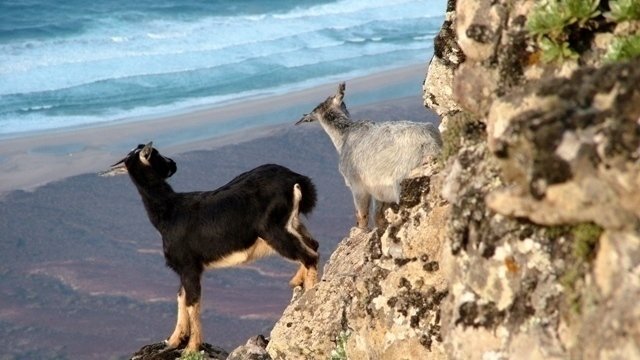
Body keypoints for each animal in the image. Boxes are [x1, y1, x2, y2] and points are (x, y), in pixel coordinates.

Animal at [104, 142, 320, 352]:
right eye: (157, 154)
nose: (173, 163)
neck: (170, 211)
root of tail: (296, 179)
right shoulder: (184, 269)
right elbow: (181, 298)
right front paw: (173, 341)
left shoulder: (190, 267)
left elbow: (192, 302)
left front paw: (191, 347)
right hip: (290, 224)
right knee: (313, 246)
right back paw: (297, 281)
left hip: (273, 230)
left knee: (309, 255)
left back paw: (309, 298)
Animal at [296, 82, 440, 228]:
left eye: (344, 103)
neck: (345, 134)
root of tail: (430, 144)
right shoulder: (377, 190)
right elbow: (377, 216)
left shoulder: (358, 187)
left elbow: (362, 217)